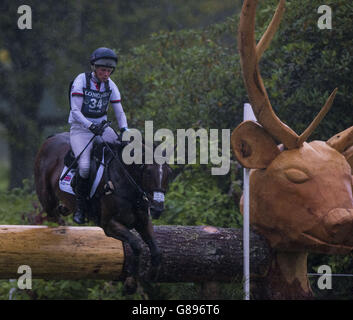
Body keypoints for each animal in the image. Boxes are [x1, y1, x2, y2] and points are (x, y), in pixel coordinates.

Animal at [33, 131, 171, 292]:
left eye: (169, 172)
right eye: (148, 172)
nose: (157, 209)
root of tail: (50, 138)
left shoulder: (143, 222)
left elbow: (156, 250)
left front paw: (152, 275)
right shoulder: (109, 224)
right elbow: (136, 245)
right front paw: (130, 283)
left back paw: (66, 209)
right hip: (46, 196)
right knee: (53, 215)